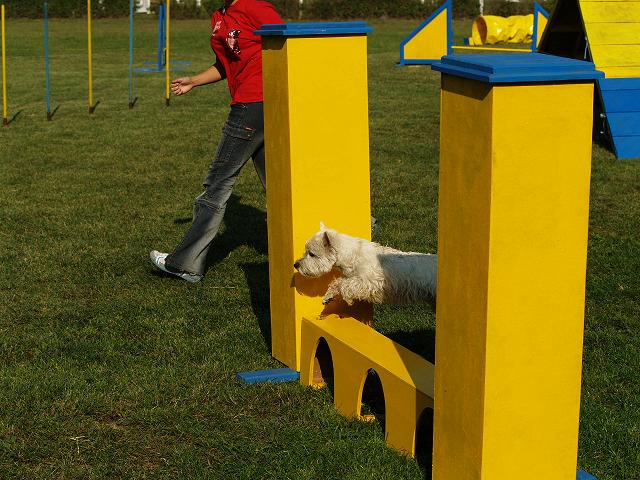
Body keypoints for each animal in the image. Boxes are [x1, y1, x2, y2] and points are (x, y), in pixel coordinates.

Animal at [294, 224, 436, 306]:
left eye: (312, 254)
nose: (296, 264)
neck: (352, 256)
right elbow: (338, 282)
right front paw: (328, 297)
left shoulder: (369, 281)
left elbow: (345, 284)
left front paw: (348, 299)